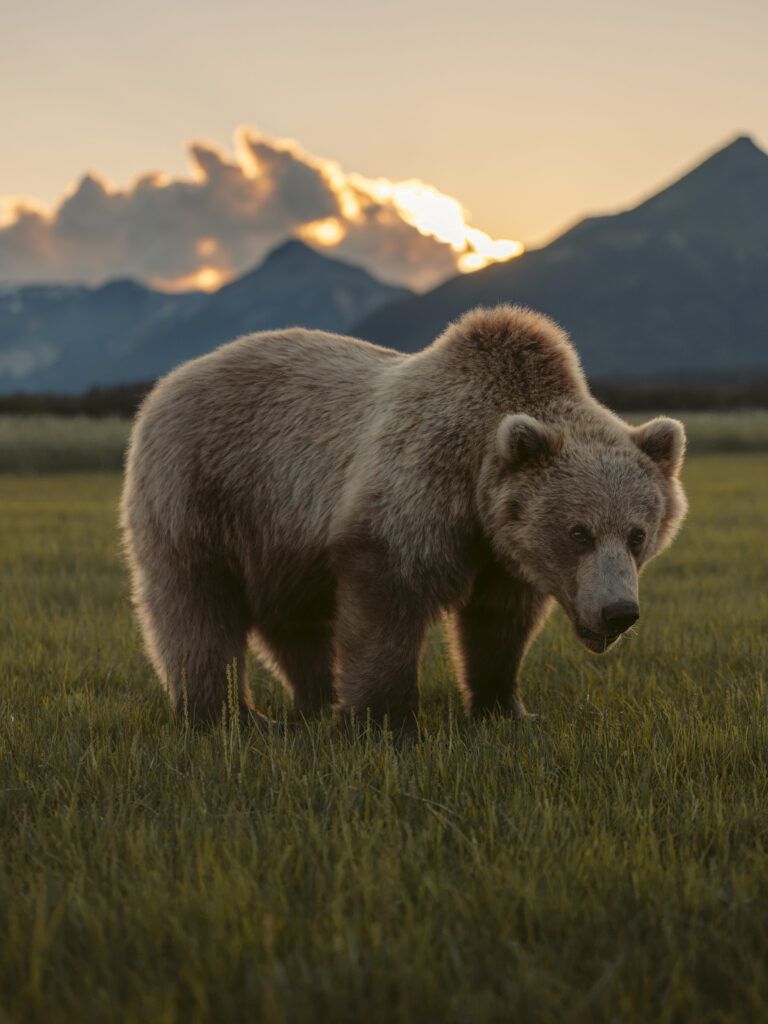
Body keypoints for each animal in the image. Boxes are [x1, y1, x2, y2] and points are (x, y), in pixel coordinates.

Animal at [120, 305, 687, 734]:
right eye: (578, 531)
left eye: (637, 535)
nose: (618, 612)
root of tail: (169, 381)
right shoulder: (414, 492)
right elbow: (388, 604)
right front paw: (386, 722)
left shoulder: (504, 553)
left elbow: (498, 626)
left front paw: (509, 711)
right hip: (205, 489)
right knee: (197, 605)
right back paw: (228, 717)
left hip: (281, 534)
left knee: (295, 619)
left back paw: (313, 703)